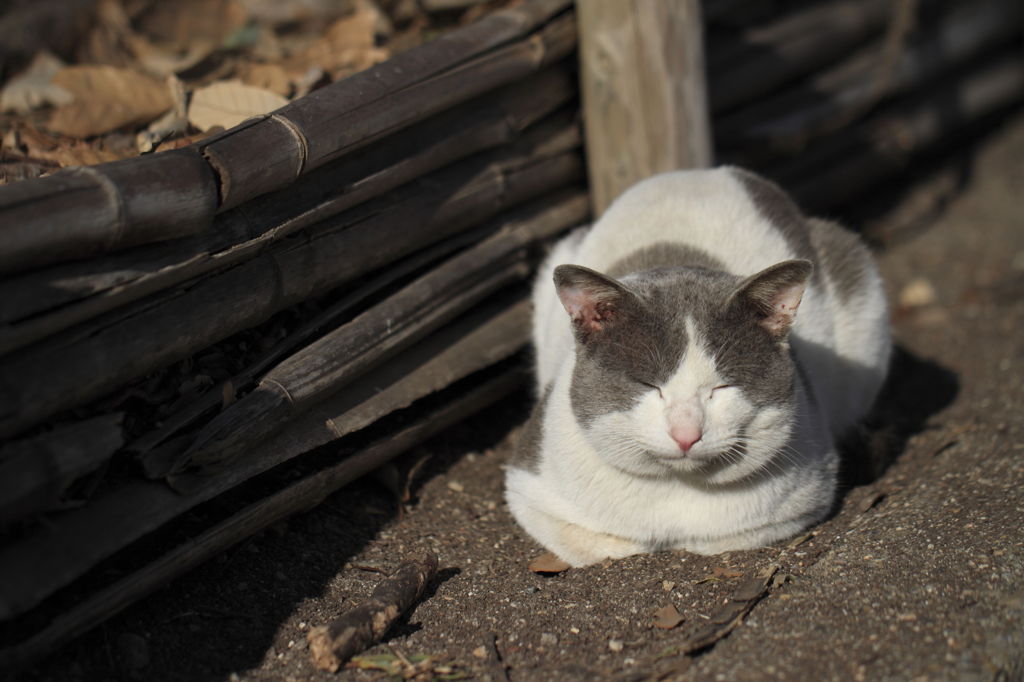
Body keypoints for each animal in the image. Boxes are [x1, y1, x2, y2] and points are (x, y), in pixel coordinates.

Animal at [507, 166, 892, 565]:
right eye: (649, 385)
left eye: (723, 386)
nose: (686, 434)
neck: (678, 489)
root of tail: (697, 172)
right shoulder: (528, 486)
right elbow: (600, 542)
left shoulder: (807, 491)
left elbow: (722, 536)